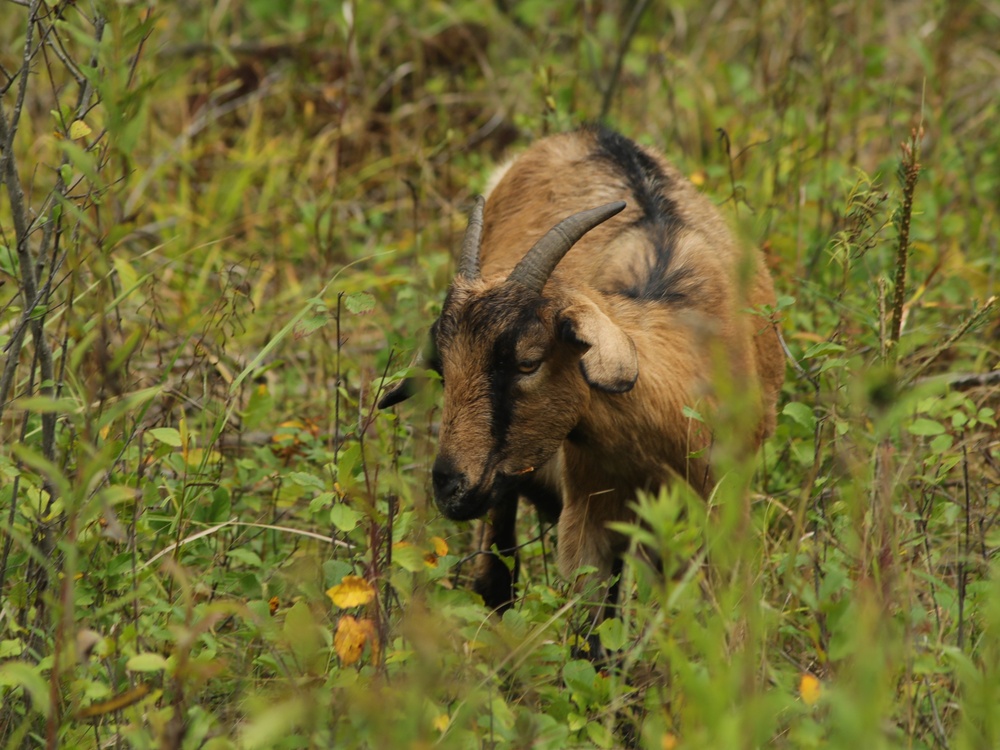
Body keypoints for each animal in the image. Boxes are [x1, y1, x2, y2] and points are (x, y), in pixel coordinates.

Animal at [378, 125, 784, 616]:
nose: (448, 485)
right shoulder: (587, 516)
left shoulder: (725, 507)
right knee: (495, 577)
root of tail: (583, 133)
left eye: (528, 362)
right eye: (442, 365)